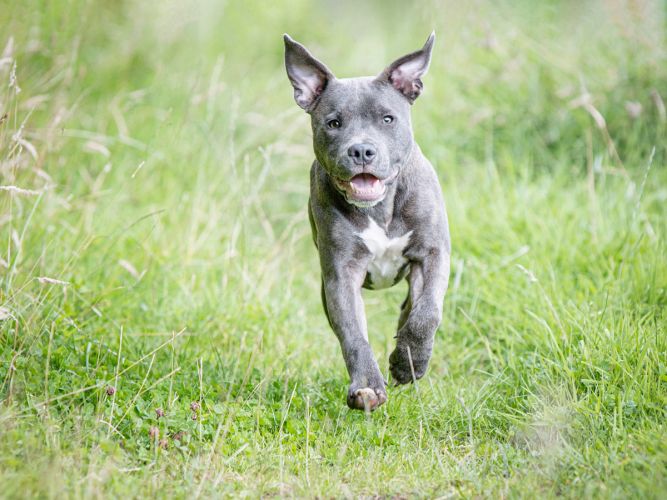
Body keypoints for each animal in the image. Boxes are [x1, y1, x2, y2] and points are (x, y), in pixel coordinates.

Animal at [282, 32, 448, 410]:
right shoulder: (341, 276)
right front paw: (367, 387)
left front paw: (408, 361)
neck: (380, 209)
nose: (361, 151)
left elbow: (427, 312)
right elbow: (354, 336)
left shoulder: (432, 254)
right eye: (333, 123)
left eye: (387, 119)